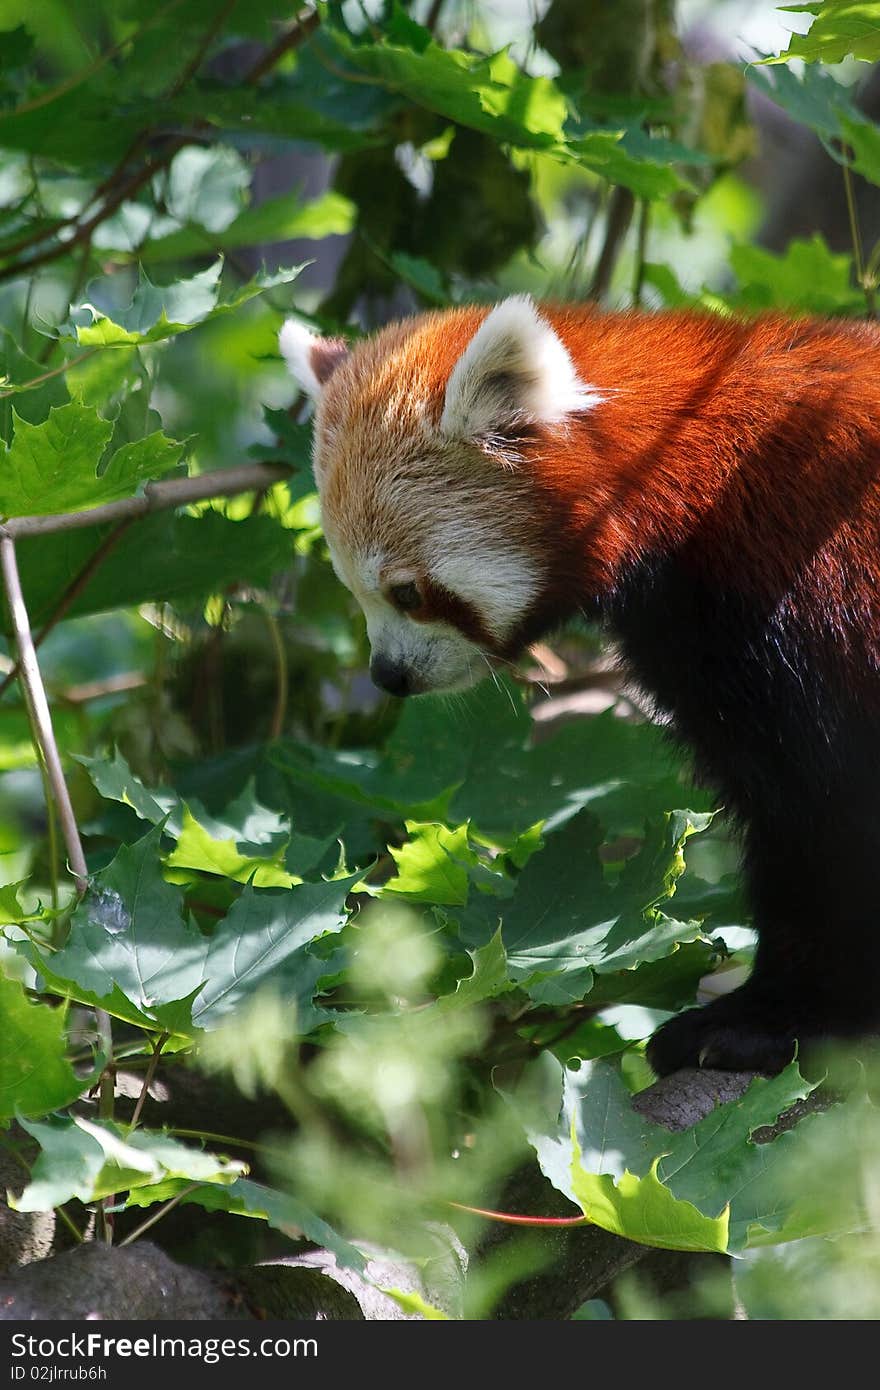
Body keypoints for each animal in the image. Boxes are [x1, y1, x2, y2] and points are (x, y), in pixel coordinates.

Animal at [278, 293, 878, 1073]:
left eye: (408, 592)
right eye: (354, 592)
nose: (389, 676)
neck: (693, 469)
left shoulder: (798, 596)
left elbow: (822, 814)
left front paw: (779, 1018)